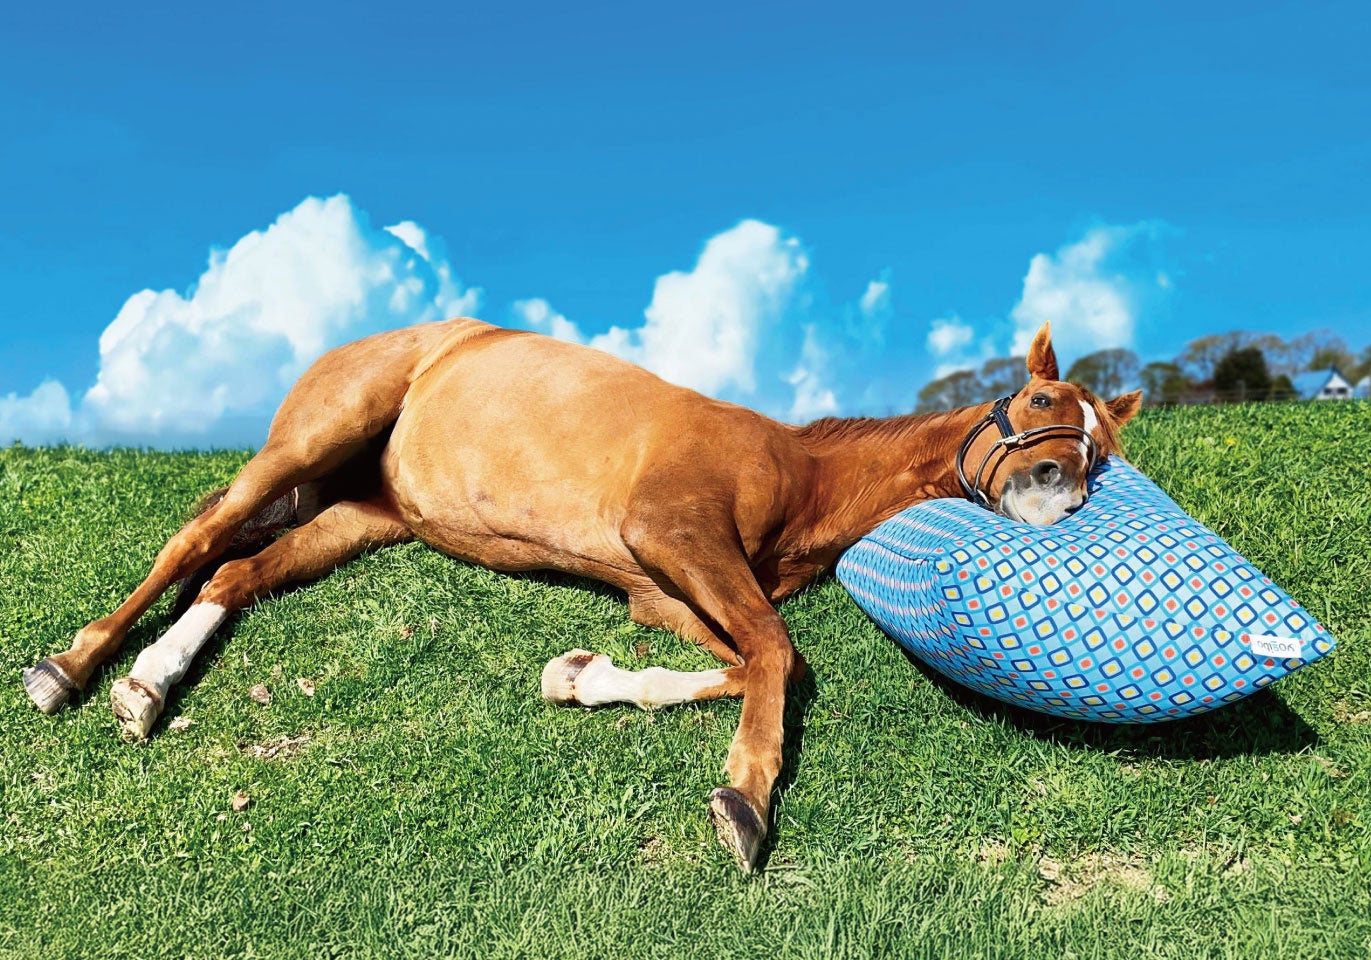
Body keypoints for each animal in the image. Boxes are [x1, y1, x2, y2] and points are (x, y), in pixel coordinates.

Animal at [22, 319, 1141, 871]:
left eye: (1102, 446)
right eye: (1038, 400)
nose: (1057, 493)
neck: (793, 472)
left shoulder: (666, 589)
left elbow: (745, 660)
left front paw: (579, 676)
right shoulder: (675, 536)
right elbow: (778, 656)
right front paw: (745, 802)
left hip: (364, 513)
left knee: (235, 570)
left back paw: (149, 684)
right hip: (314, 439)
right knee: (197, 538)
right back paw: (73, 668)